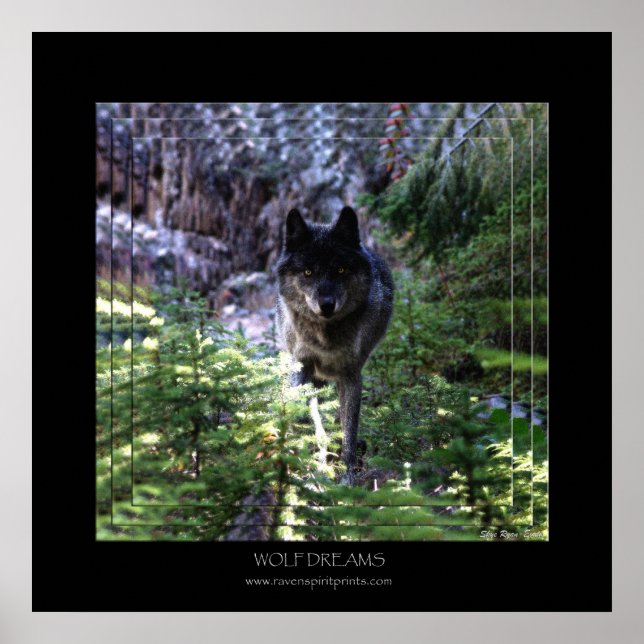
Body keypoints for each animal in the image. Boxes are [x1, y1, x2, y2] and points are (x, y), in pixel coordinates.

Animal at [276, 206, 394, 483]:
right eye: (308, 272)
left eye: (340, 270)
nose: (327, 304)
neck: (324, 338)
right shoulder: (302, 369)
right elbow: (312, 422)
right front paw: (310, 463)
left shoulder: (351, 375)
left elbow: (348, 431)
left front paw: (347, 475)